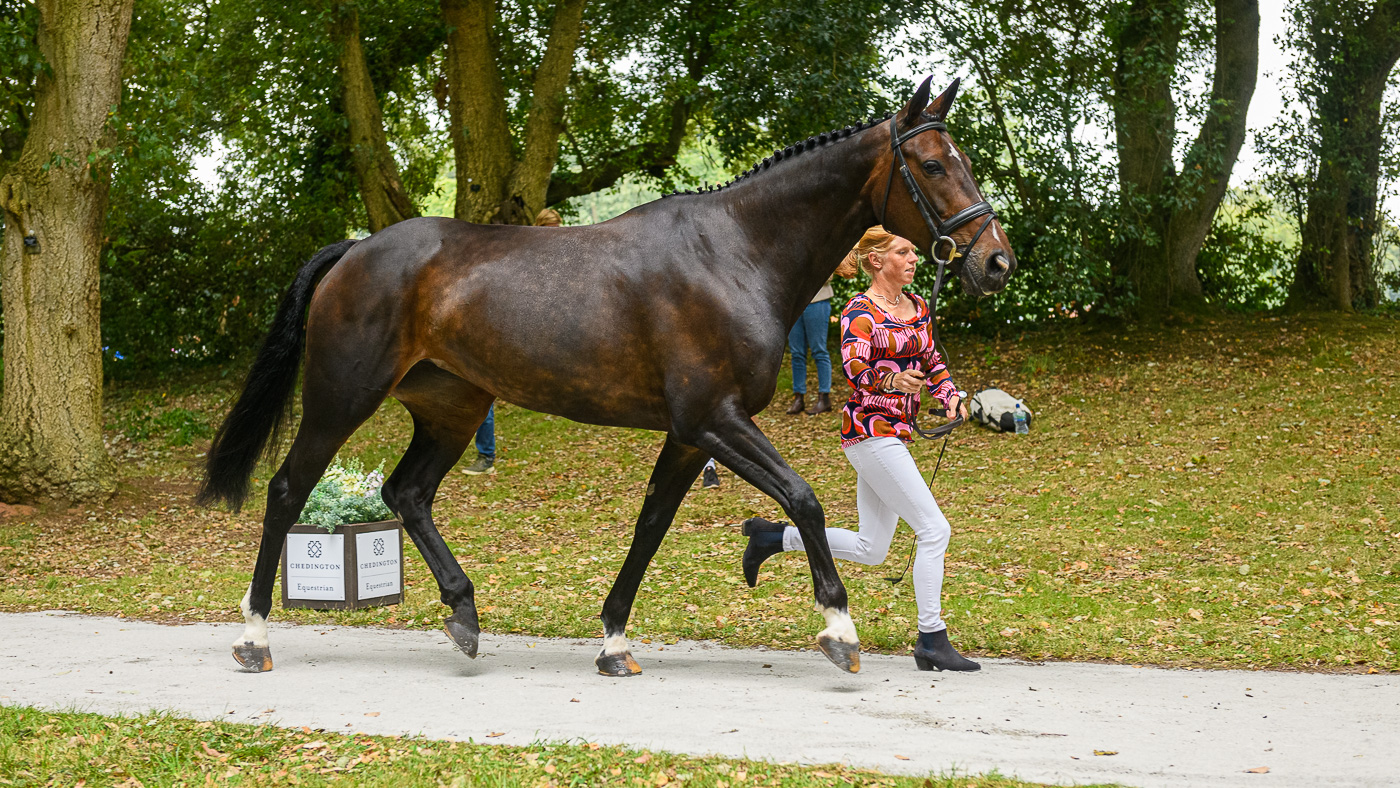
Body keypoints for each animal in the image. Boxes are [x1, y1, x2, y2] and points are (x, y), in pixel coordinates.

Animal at [197, 76, 1017, 677]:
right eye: (933, 165)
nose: (996, 261)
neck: (736, 252)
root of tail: (356, 251)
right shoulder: (715, 420)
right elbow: (804, 500)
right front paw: (840, 629)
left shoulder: (690, 436)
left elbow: (650, 525)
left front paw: (615, 642)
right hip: (342, 398)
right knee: (287, 490)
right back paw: (255, 636)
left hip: (451, 410)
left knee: (407, 493)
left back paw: (463, 614)